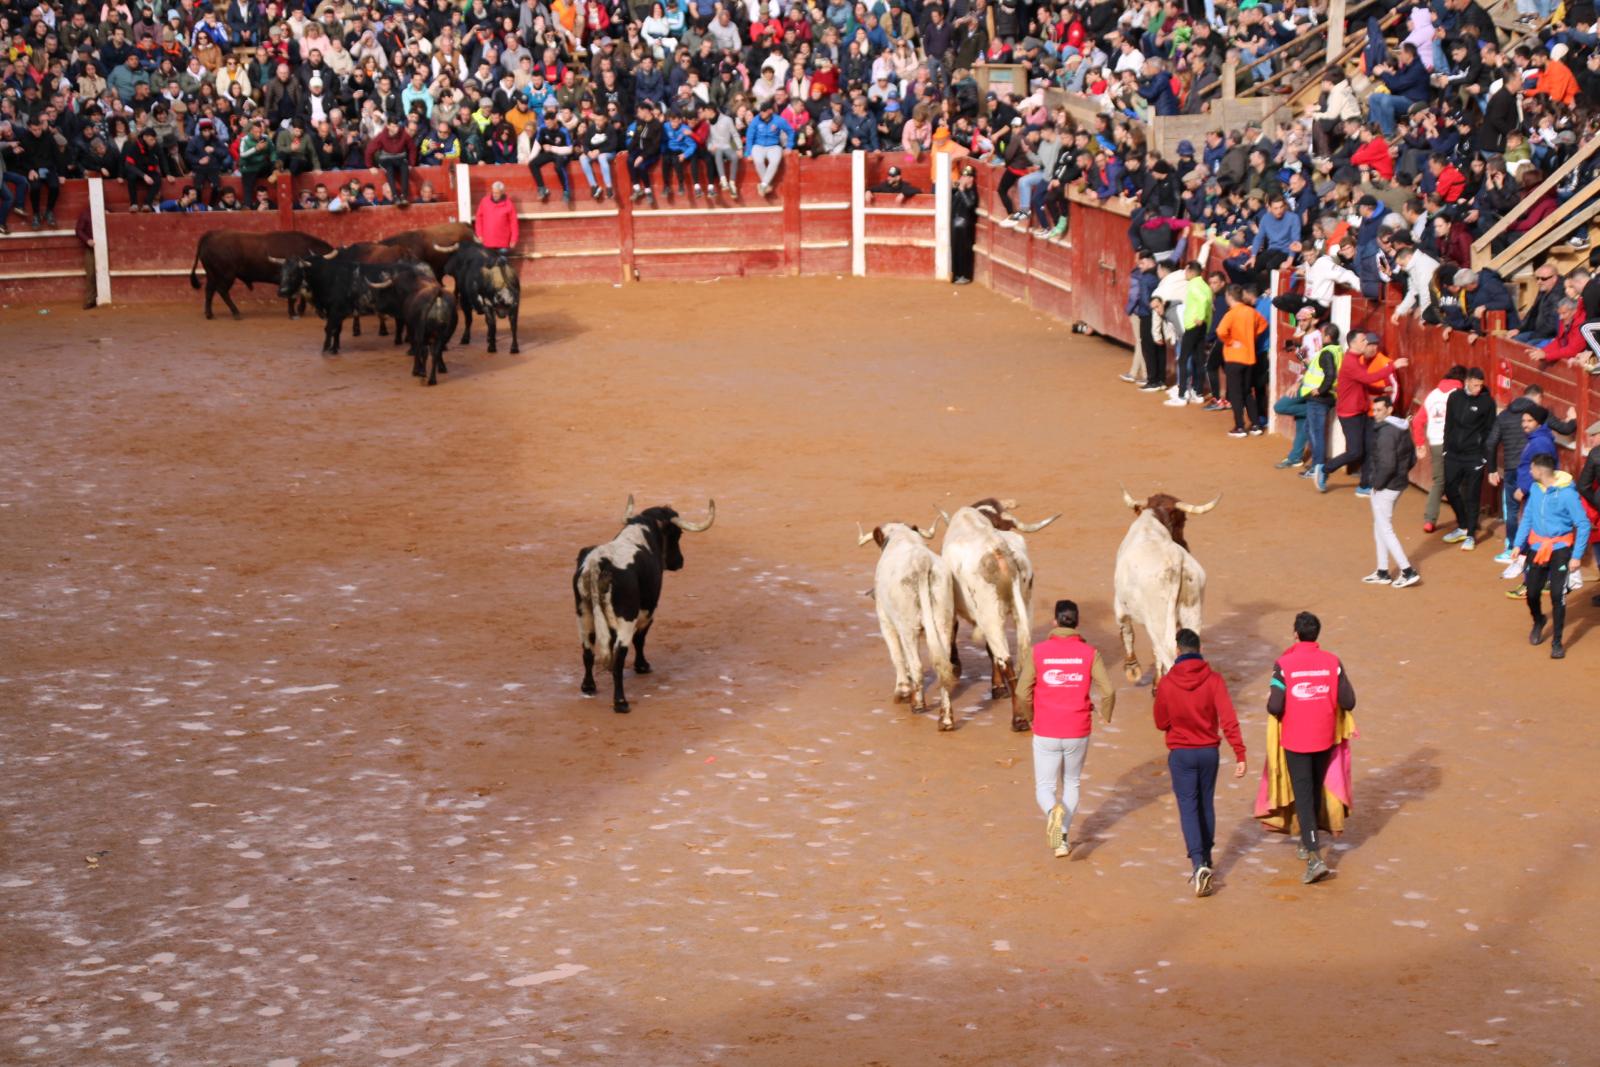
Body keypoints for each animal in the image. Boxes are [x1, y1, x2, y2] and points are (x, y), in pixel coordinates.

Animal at [579, 495, 716, 713]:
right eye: (678, 534)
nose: (680, 562)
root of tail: (599, 562)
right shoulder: (649, 610)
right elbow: (640, 639)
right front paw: (642, 666)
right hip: (625, 620)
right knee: (618, 658)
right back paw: (621, 703)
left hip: (584, 617)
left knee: (587, 651)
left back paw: (588, 686)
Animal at [857, 511, 953, 729]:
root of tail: (922, 563)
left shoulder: (886, 622)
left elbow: (897, 656)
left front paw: (902, 690)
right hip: (943, 623)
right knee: (944, 666)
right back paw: (946, 720)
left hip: (908, 627)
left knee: (916, 664)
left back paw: (917, 705)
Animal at [934, 495, 1062, 729]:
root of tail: (1001, 553)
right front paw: (997, 687)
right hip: (1024, 608)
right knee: (1020, 653)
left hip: (990, 615)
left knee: (1004, 657)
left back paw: (1018, 719)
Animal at [1120, 489, 1216, 684]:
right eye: (1183, 520)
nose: (1185, 545)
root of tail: (1177, 561)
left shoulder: (1119, 604)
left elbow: (1127, 632)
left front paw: (1132, 670)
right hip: (1191, 613)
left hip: (1159, 620)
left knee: (1166, 652)